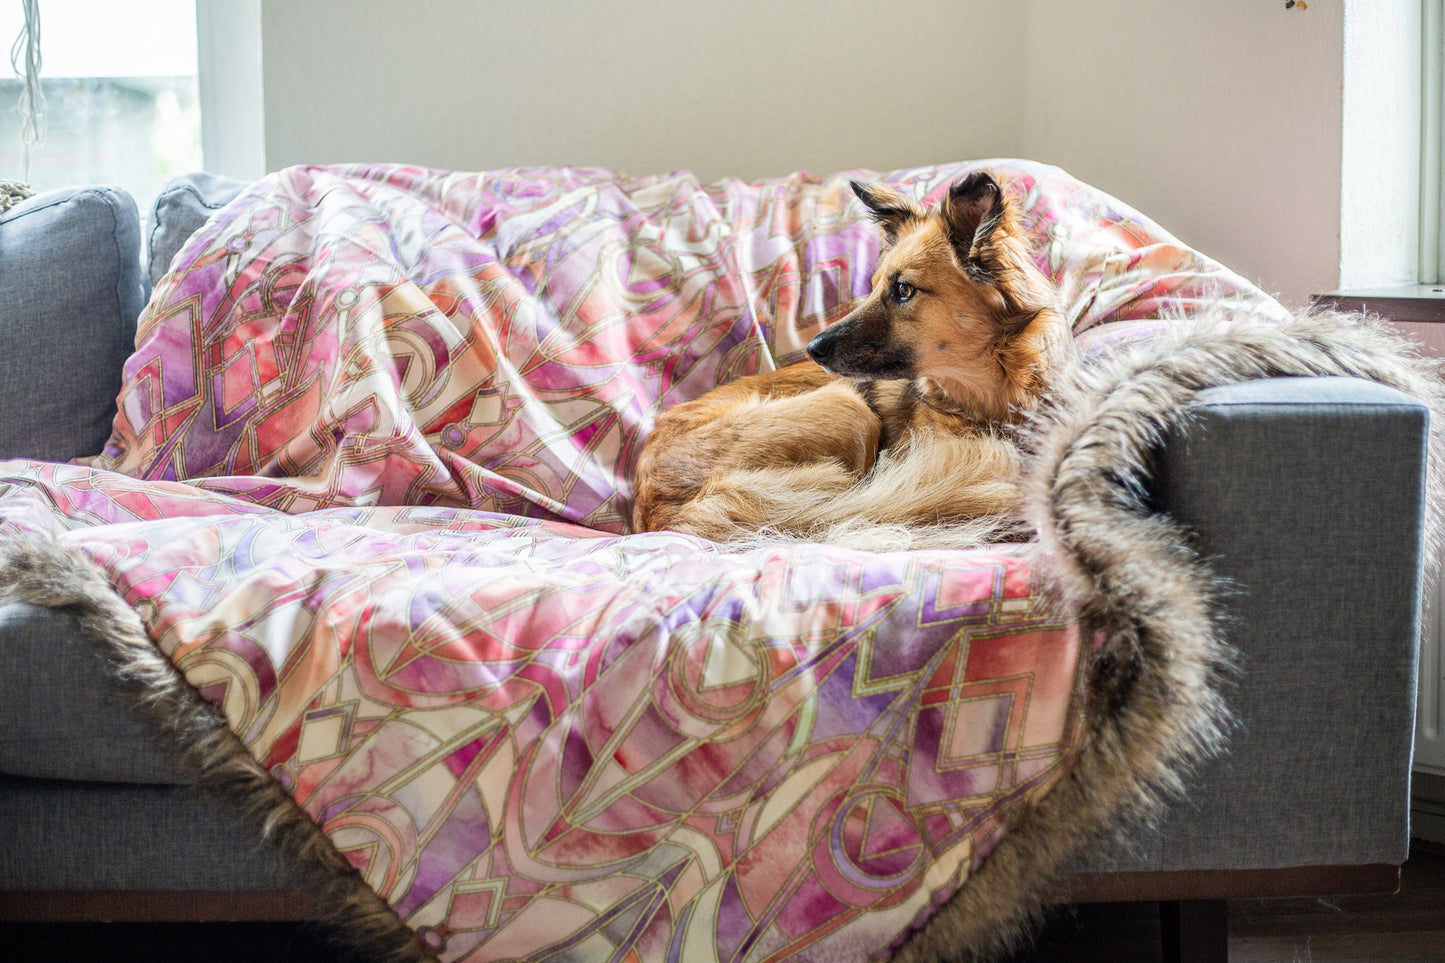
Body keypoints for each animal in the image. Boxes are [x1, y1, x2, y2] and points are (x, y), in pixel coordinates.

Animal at [630, 171, 1075, 543]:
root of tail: (661, 516)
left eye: (903, 290)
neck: (992, 403)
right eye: (874, 285)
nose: (813, 349)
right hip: (848, 409)